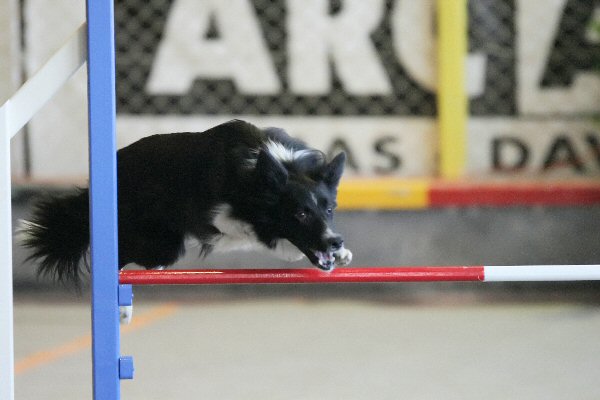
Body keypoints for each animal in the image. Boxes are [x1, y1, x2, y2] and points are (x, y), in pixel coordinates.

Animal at [22, 119, 352, 284]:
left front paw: (342, 254)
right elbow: (254, 232)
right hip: (160, 245)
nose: (335, 240)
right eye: (300, 214)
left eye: (329, 209)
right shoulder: (214, 217)